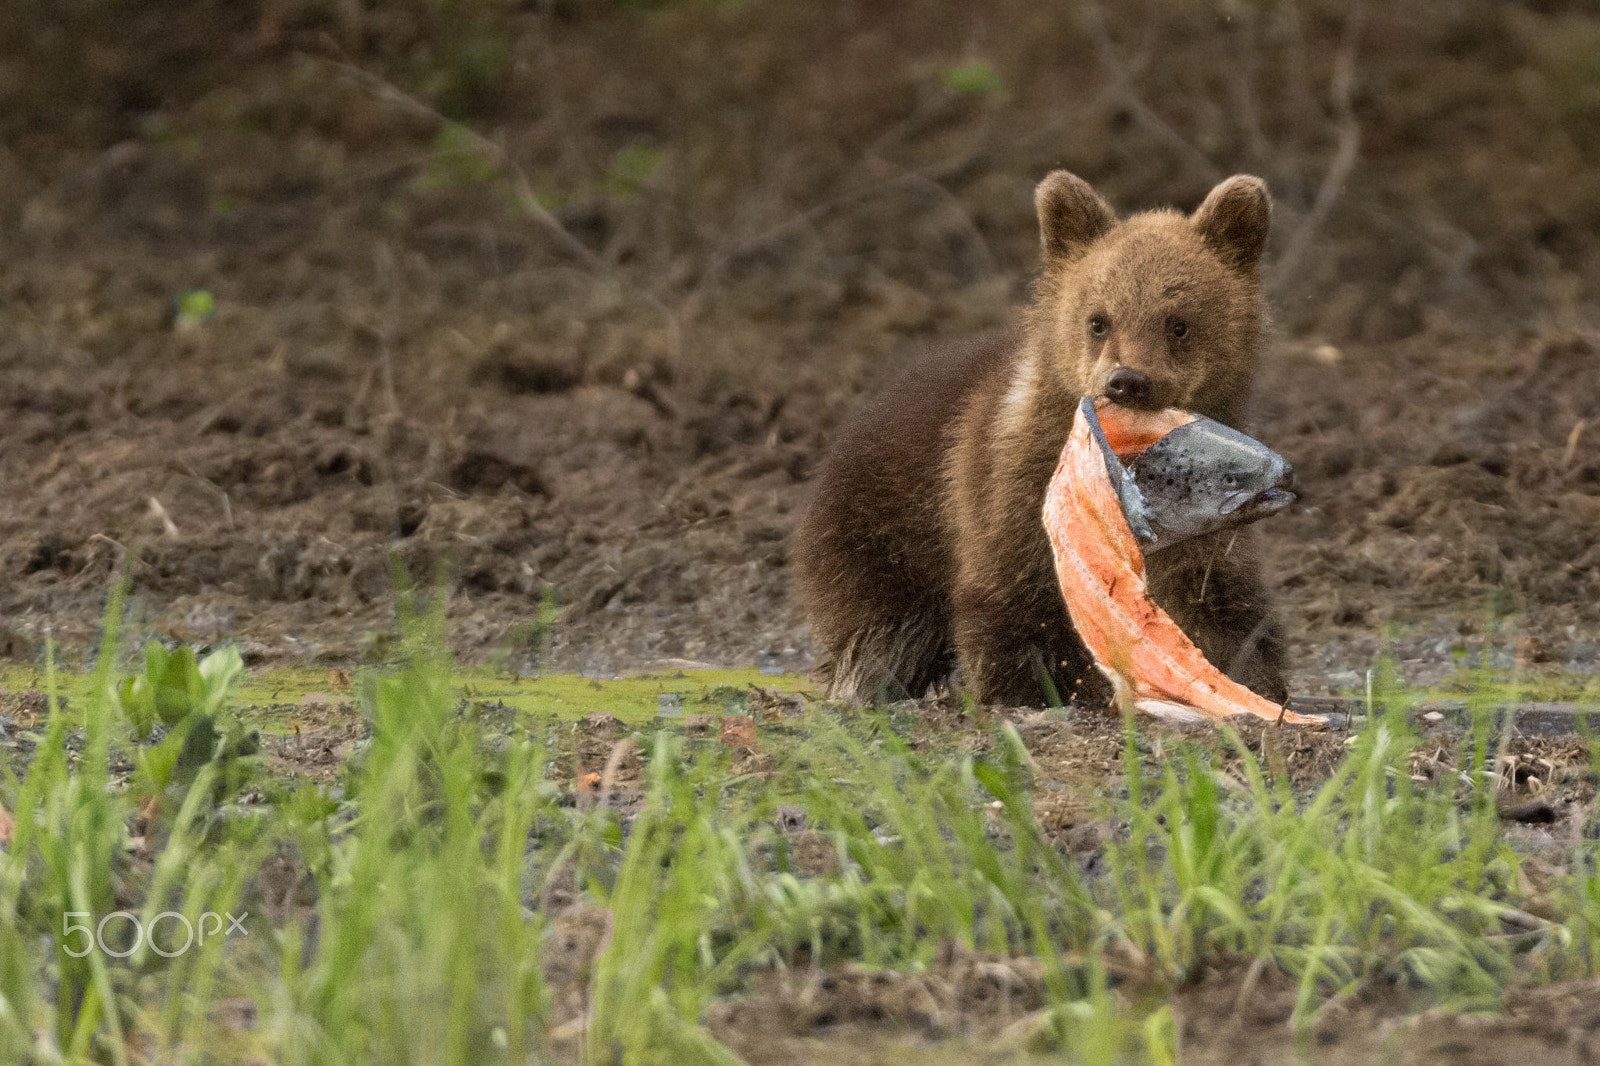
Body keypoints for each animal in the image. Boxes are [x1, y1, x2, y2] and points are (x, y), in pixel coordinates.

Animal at [790, 170, 1287, 708]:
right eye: (1098, 319)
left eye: (1179, 323)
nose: (1127, 381)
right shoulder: (1009, 492)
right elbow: (1010, 603)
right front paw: (1025, 689)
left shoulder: (1207, 532)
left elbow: (1220, 603)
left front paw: (1252, 681)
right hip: (881, 529)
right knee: (885, 628)